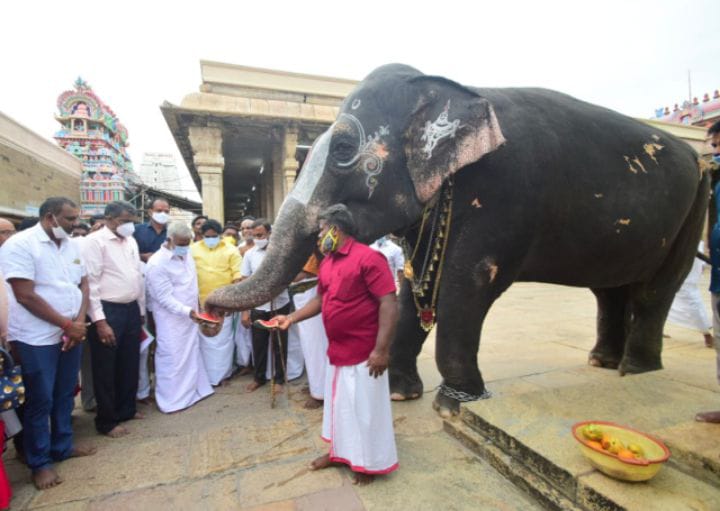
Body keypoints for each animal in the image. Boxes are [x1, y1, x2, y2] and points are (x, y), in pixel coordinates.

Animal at [207, 64, 708, 418]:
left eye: (346, 149)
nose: (209, 309)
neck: (449, 86)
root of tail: (694, 153)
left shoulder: (508, 191)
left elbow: (469, 282)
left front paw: (456, 403)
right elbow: (412, 285)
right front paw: (399, 394)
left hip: (698, 201)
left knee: (656, 289)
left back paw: (636, 371)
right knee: (610, 290)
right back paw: (602, 363)